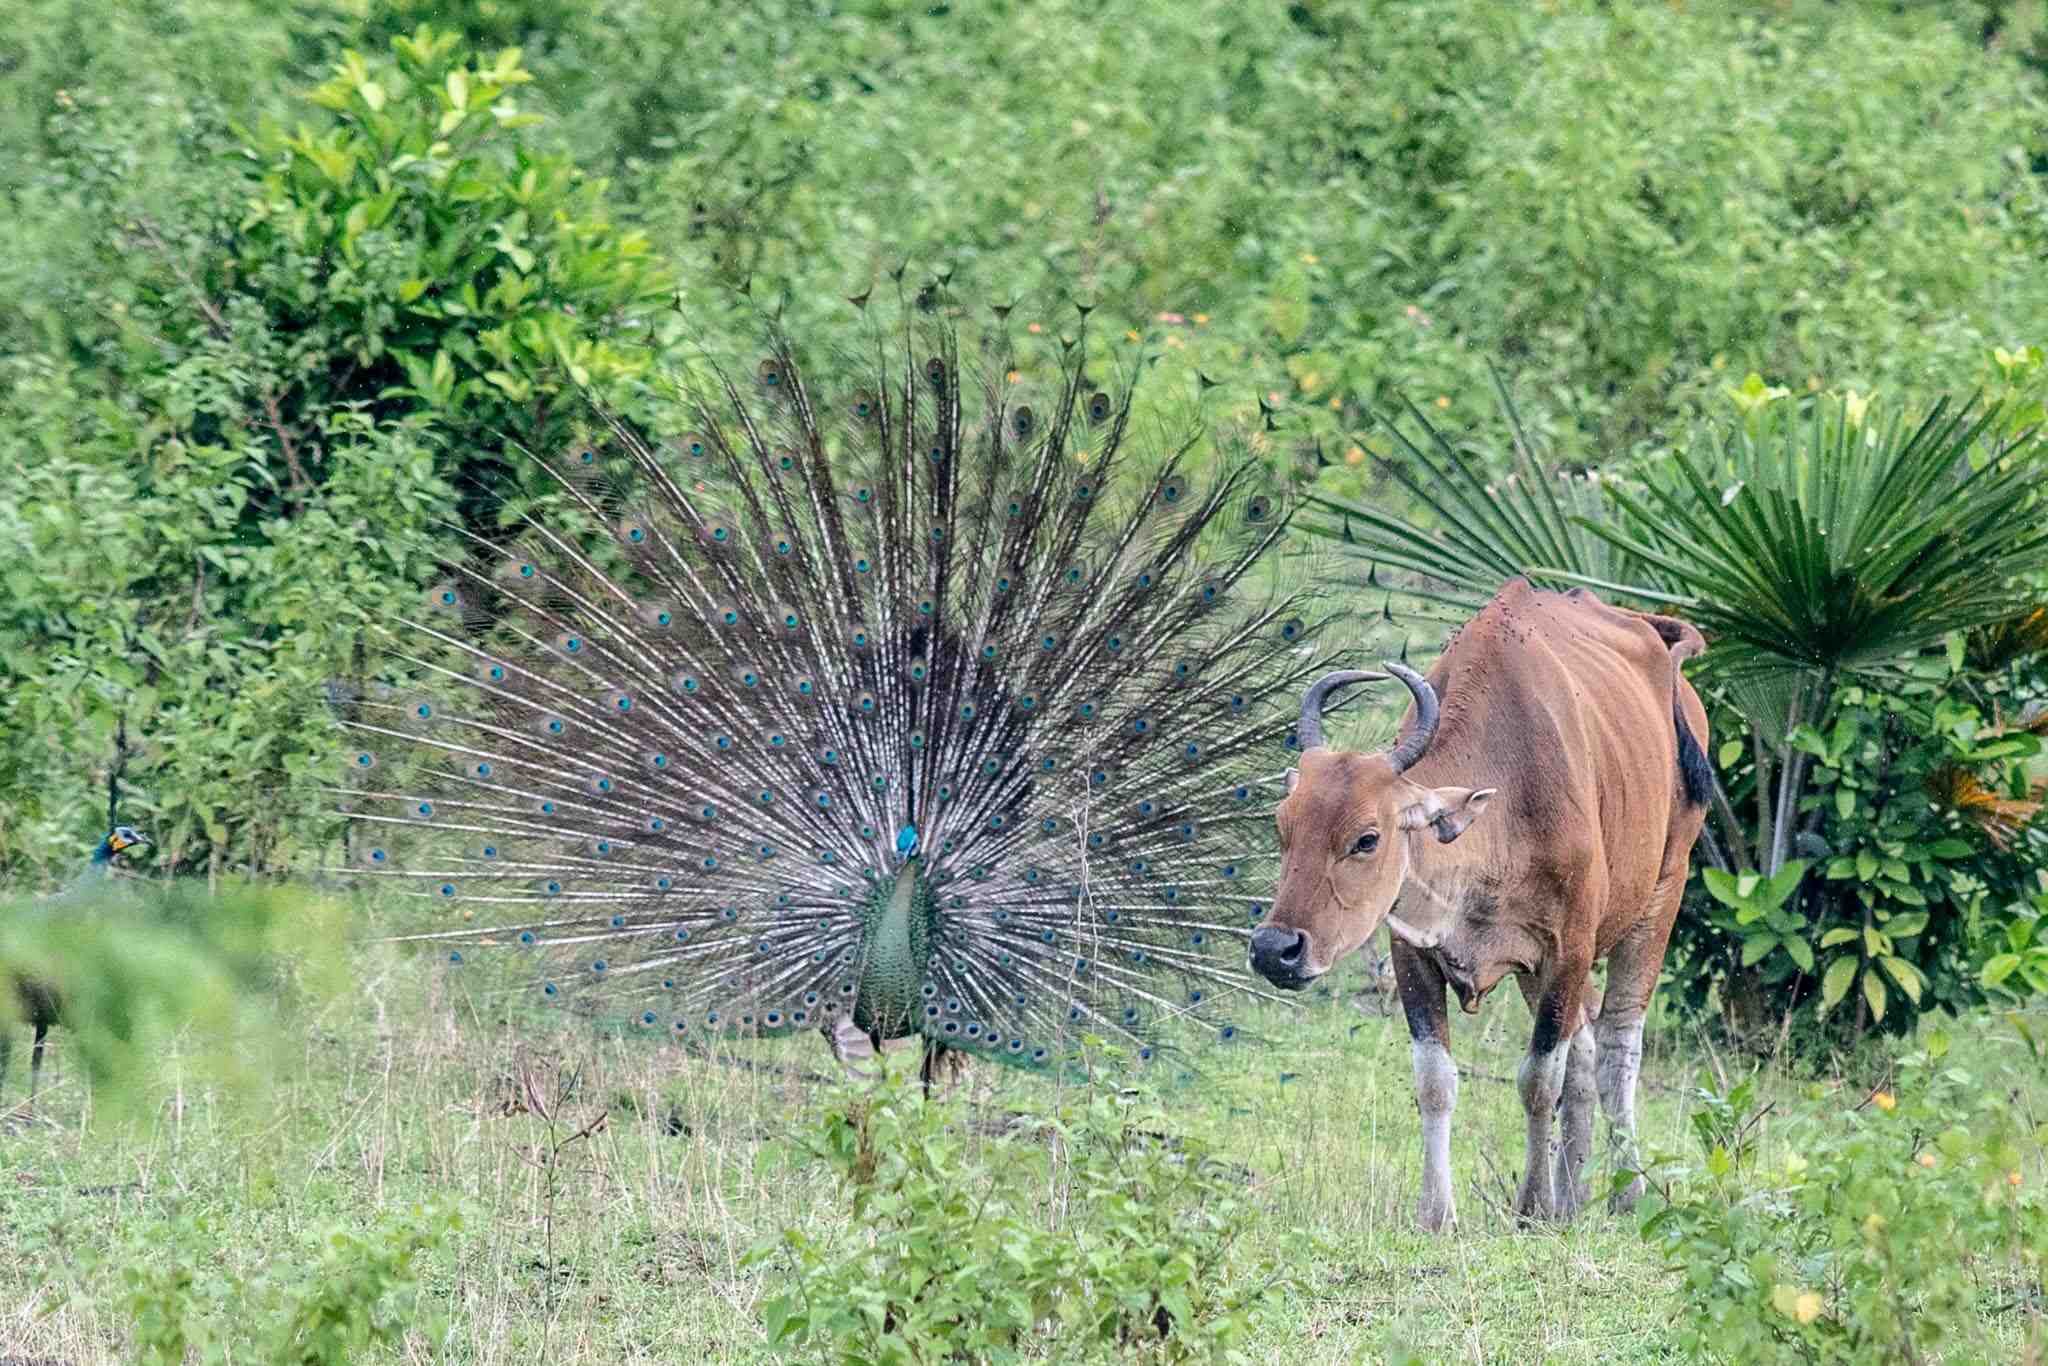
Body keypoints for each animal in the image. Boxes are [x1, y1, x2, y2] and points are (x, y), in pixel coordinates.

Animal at [1245, 577, 1712, 1228]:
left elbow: (1539, 1079)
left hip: (1659, 899)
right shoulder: (1414, 952)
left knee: (1617, 1047)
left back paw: (1625, 1193)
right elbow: (1436, 1080)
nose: (1275, 949)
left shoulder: (1567, 951)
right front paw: (1438, 1214)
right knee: (1586, 1049)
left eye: (1367, 838)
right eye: (1282, 826)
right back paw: (1575, 1195)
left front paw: (1533, 1204)